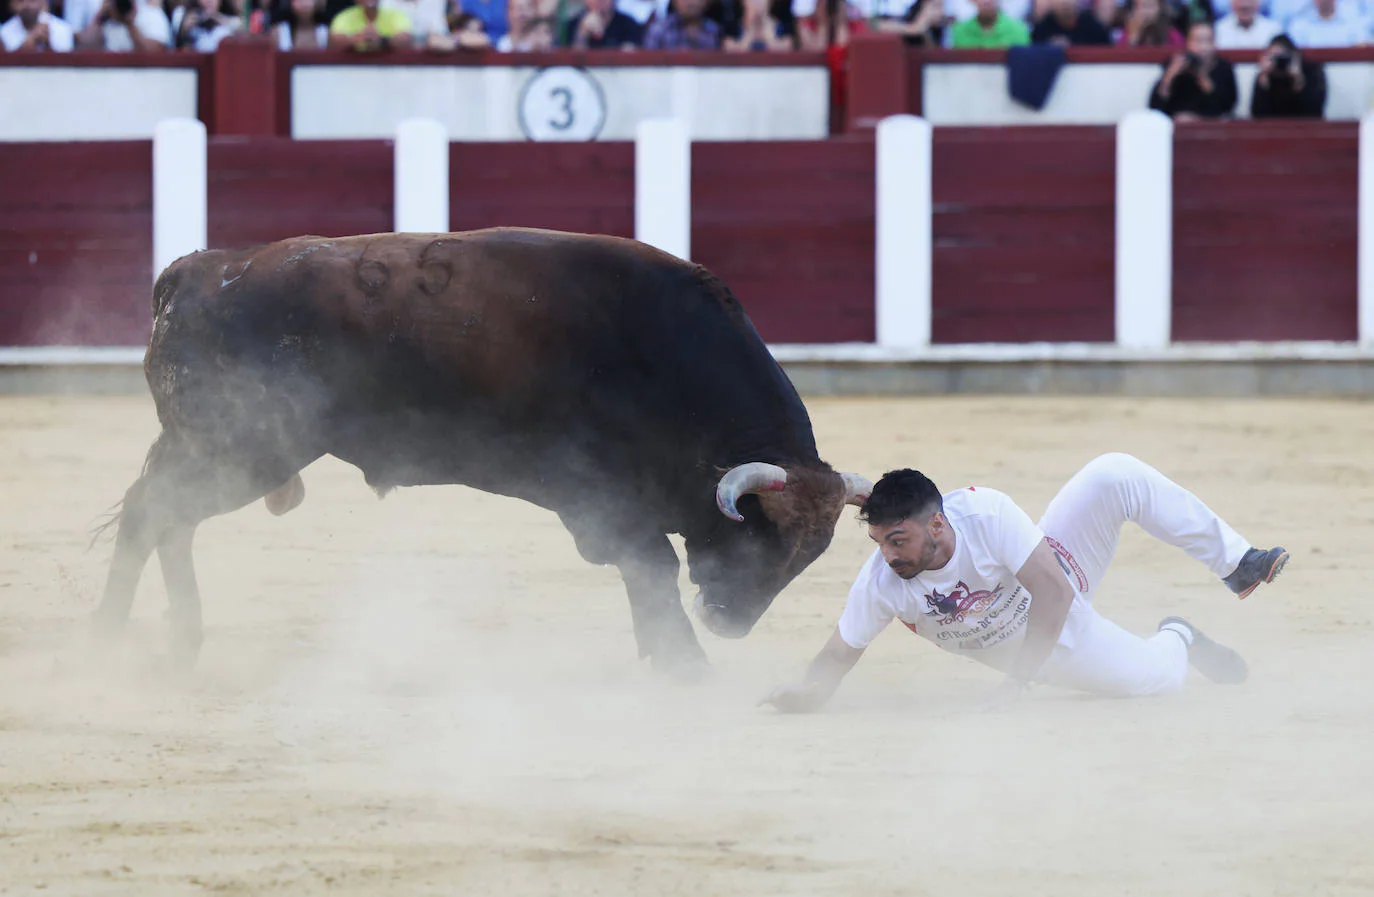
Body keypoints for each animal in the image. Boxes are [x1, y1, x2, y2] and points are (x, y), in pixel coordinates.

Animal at [91, 228, 873, 675]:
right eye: (758, 538)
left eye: (809, 558)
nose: (728, 622)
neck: (659, 354)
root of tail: (194, 273)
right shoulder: (598, 492)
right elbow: (650, 563)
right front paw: (685, 660)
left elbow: (644, 569)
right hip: (236, 449)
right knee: (152, 513)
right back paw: (115, 641)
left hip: (218, 450)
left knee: (162, 519)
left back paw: (176, 640)